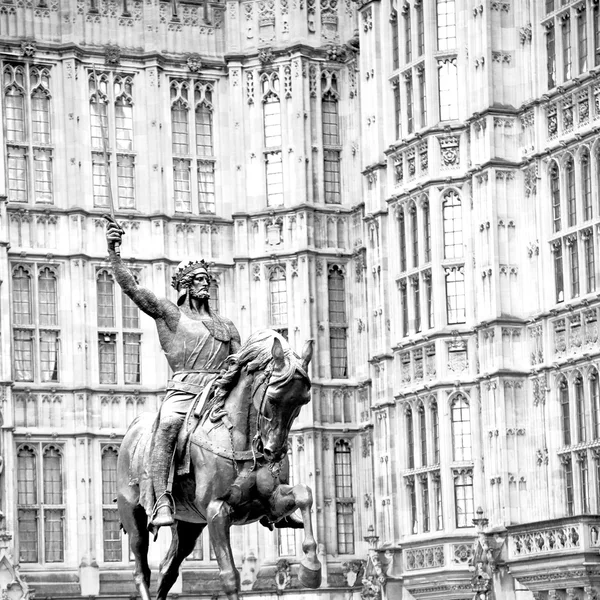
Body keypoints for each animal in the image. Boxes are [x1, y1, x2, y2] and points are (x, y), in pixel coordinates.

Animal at [115, 330, 322, 600]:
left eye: (303, 401)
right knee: (142, 570)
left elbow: (304, 493)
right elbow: (229, 576)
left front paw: (311, 567)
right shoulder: (217, 510)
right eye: (273, 399)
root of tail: (134, 428)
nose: (274, 452)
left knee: (168, 570)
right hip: (134, 516)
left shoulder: (269, 503)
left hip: (189, 526)